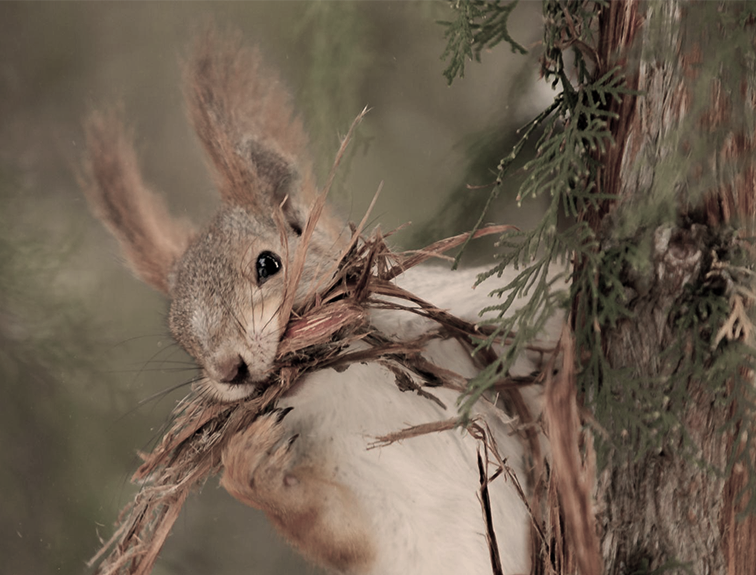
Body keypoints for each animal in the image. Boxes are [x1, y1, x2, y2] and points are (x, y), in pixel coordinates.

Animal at [84, 29, 536, 575]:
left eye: (268, 264)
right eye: (179, 335)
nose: (227, 368)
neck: (347, 384)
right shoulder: (385, 539)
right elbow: (331, 533)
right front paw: (249, 462)